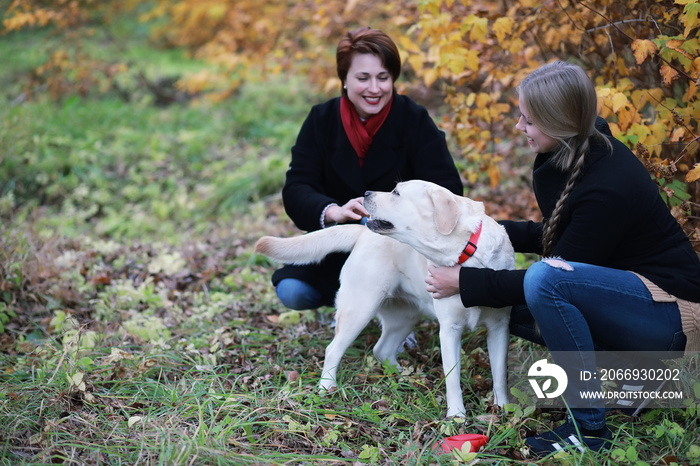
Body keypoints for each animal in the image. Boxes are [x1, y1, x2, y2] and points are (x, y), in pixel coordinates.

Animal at [256, 180, 516, 416]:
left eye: (396, 193)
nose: (366, 193)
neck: (466, 255)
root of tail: (362, 232)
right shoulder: (449, 329)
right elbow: (453, 379)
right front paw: (456, 416)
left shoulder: (499, 327)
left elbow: (499, 373)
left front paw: (503, 408)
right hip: (360, 308)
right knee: (333, 349)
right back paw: (326, 387)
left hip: (404, 317)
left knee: (381, 349)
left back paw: (403, 376)